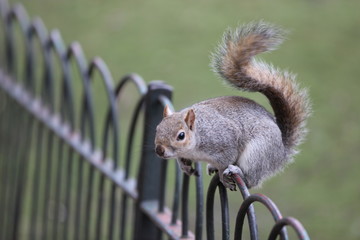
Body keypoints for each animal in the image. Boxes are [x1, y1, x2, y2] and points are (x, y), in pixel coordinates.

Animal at [153, 21, 310, 189]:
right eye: (157, 128)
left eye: (181, 135)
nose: (159, 150)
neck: (198, 137)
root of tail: (281, 153)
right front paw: (184, 166)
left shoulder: (224, 141)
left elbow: (226, 160)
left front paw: (223, 175)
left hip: (258, 152)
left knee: (251, 181)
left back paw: (237, 171)